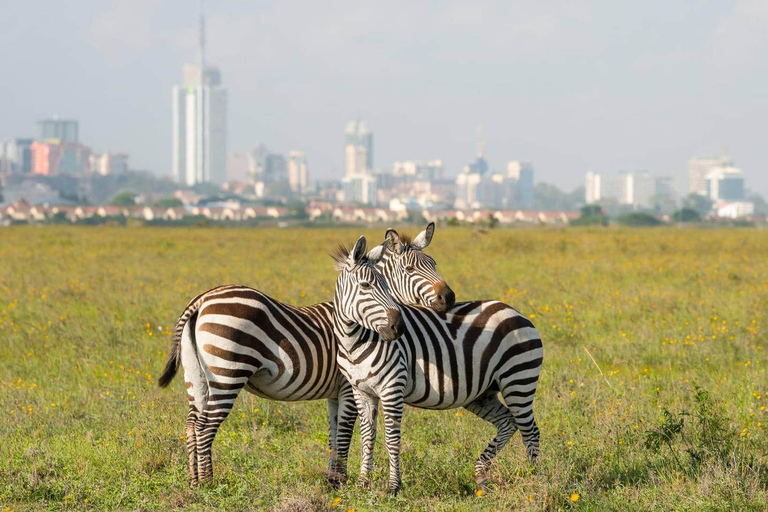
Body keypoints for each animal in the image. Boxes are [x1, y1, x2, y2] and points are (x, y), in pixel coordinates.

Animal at [158, 224, 452, 488]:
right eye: (410, 270)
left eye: (434, 263)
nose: (449, 298)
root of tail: (201, 300)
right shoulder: (348, 387)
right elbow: (345, 432)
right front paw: (340, 481)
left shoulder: (335, 393)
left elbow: (334, 433)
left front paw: (332, 479)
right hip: (227, 373)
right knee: (205, 426)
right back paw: (208, 483)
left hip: (196, 375)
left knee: (192, 423)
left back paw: (194, 481)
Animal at [332, 248, 544, 496]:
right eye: (365, 285)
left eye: (386, 285)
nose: (398, 328)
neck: (354, 342)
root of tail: (516, 311)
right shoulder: (362, 391)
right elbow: (367, 437)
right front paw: (363, 483)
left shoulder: (392, 387)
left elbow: (392, 439)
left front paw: (394, 487)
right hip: (482, 394)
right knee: (508, 423)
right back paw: (481, 476)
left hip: (518, 379)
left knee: (530, 431)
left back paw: (534, 481)